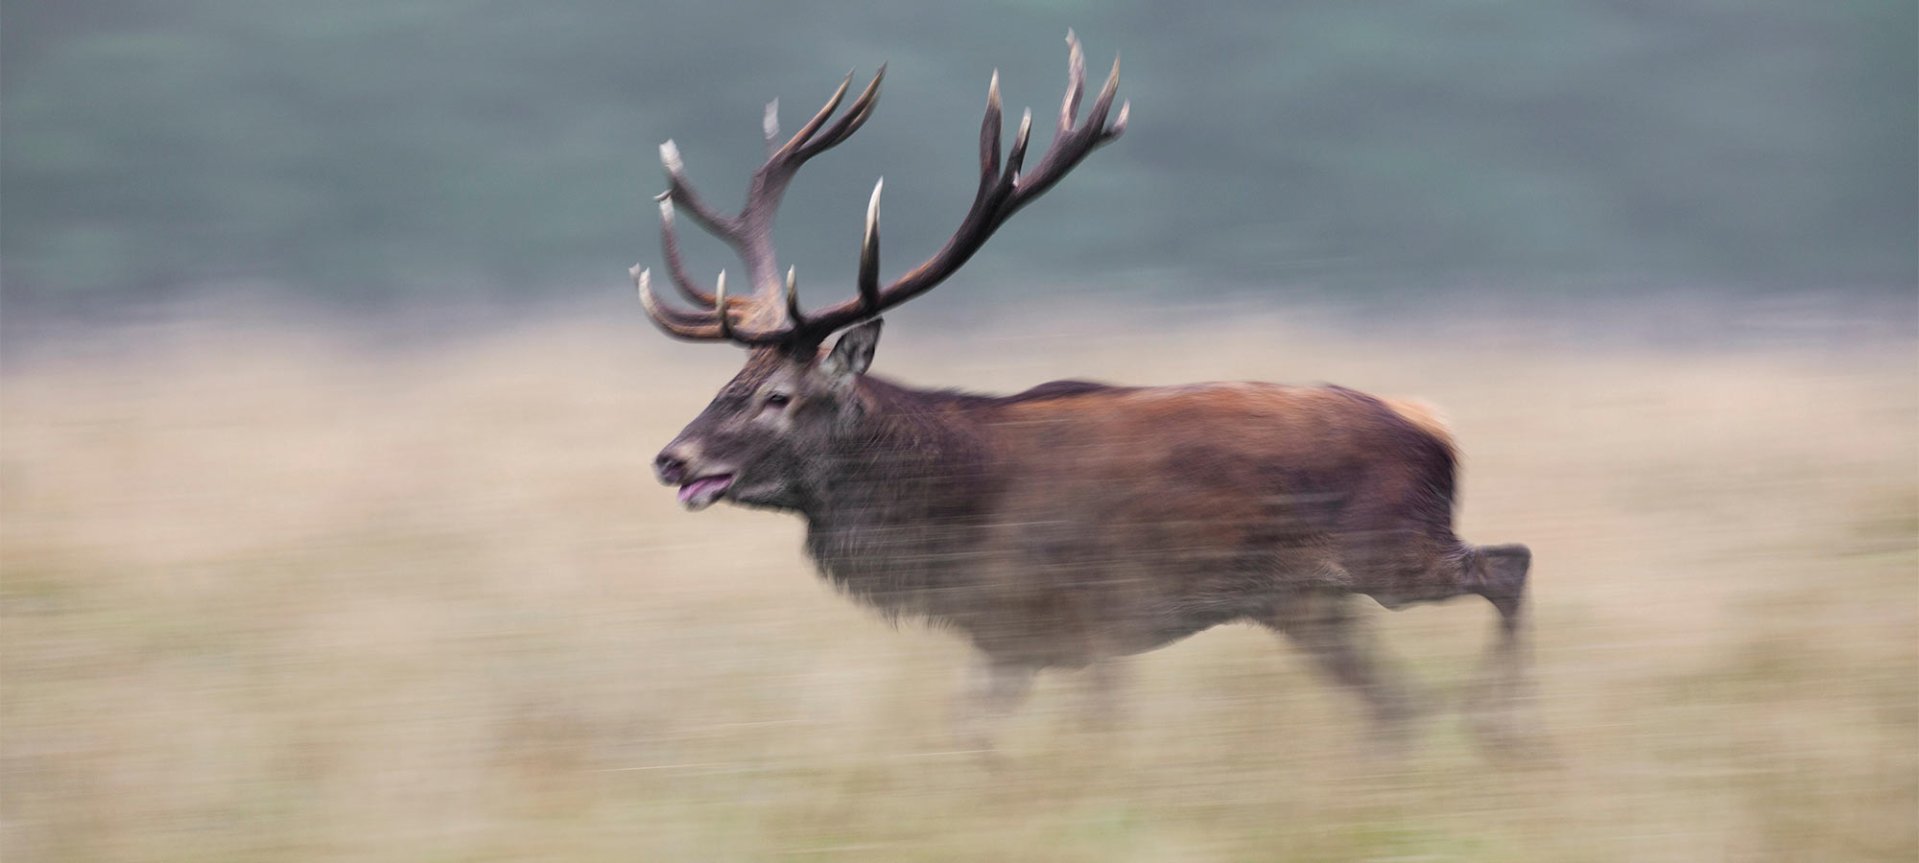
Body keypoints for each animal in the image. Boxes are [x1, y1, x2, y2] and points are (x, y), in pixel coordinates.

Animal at [632, 33, 1532, 753]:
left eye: (778, 396)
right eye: (730, 383)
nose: (672, 458)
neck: (952, 511)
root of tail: (1431, 427)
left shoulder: (1089, 606)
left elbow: (1095, 729)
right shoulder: (1009, 636)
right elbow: (971, 736)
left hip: (1389, 545)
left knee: (1508, 565)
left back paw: (1504, 732)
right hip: (1308, 601)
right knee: (1398, 705)